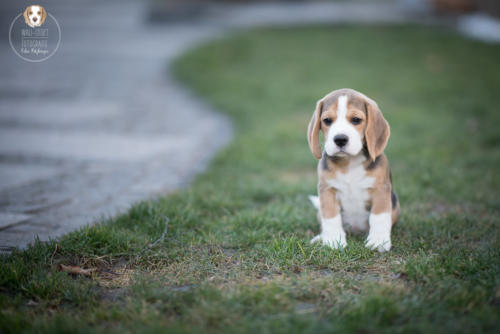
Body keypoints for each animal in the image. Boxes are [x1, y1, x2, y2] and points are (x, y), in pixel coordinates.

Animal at [306, 87, 400, 252]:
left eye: (356, 119)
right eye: (327, 120)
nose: (340, 139)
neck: (349, 163)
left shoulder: (381, 189)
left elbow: (379, 217)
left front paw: (378, 241)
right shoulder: (327, 189)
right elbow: (331, 217)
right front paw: (333, 241)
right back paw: (320, 237)